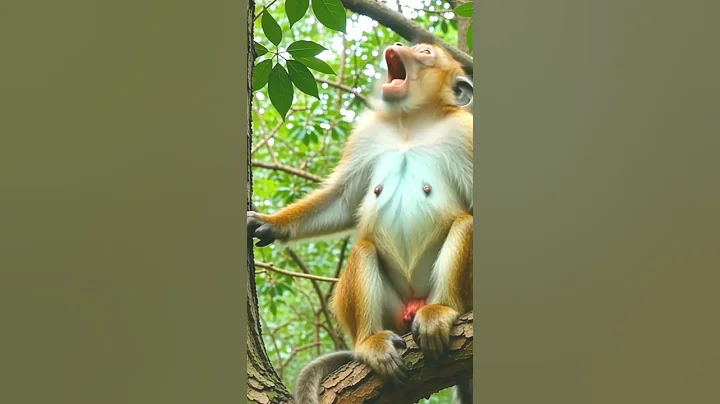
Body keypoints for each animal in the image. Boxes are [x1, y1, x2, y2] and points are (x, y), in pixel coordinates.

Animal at [248, 40, 473, 403]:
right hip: (391, 315)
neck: (410, 124)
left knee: (465, 224)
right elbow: (342, 200)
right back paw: (371, 343)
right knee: (365, 249)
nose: (398, 44)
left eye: (425, 52)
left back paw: (442, 311)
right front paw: (271, 223)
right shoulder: (367, 134)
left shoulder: (465, 133)